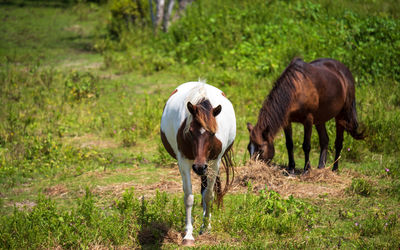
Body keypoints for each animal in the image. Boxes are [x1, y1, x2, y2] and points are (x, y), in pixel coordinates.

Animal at [160, 80, 236, 246]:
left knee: (206, 191)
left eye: (213, 133)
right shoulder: (184, 162)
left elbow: (208, 195)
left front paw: (206, 227)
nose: (199, 167)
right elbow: (189, 197)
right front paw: (188, 235)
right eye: (190, 131)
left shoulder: (214, 163)